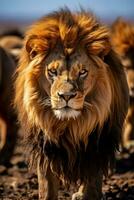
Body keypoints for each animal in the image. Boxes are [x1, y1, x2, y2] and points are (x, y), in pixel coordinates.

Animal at [14, 9, 129, 200]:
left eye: (82, 72)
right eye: (52, 71)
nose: (66, 96)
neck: (69, 125)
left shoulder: (97, 145)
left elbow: (92, 181)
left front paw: (87, 195)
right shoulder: (44, 146)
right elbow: (46, 185)